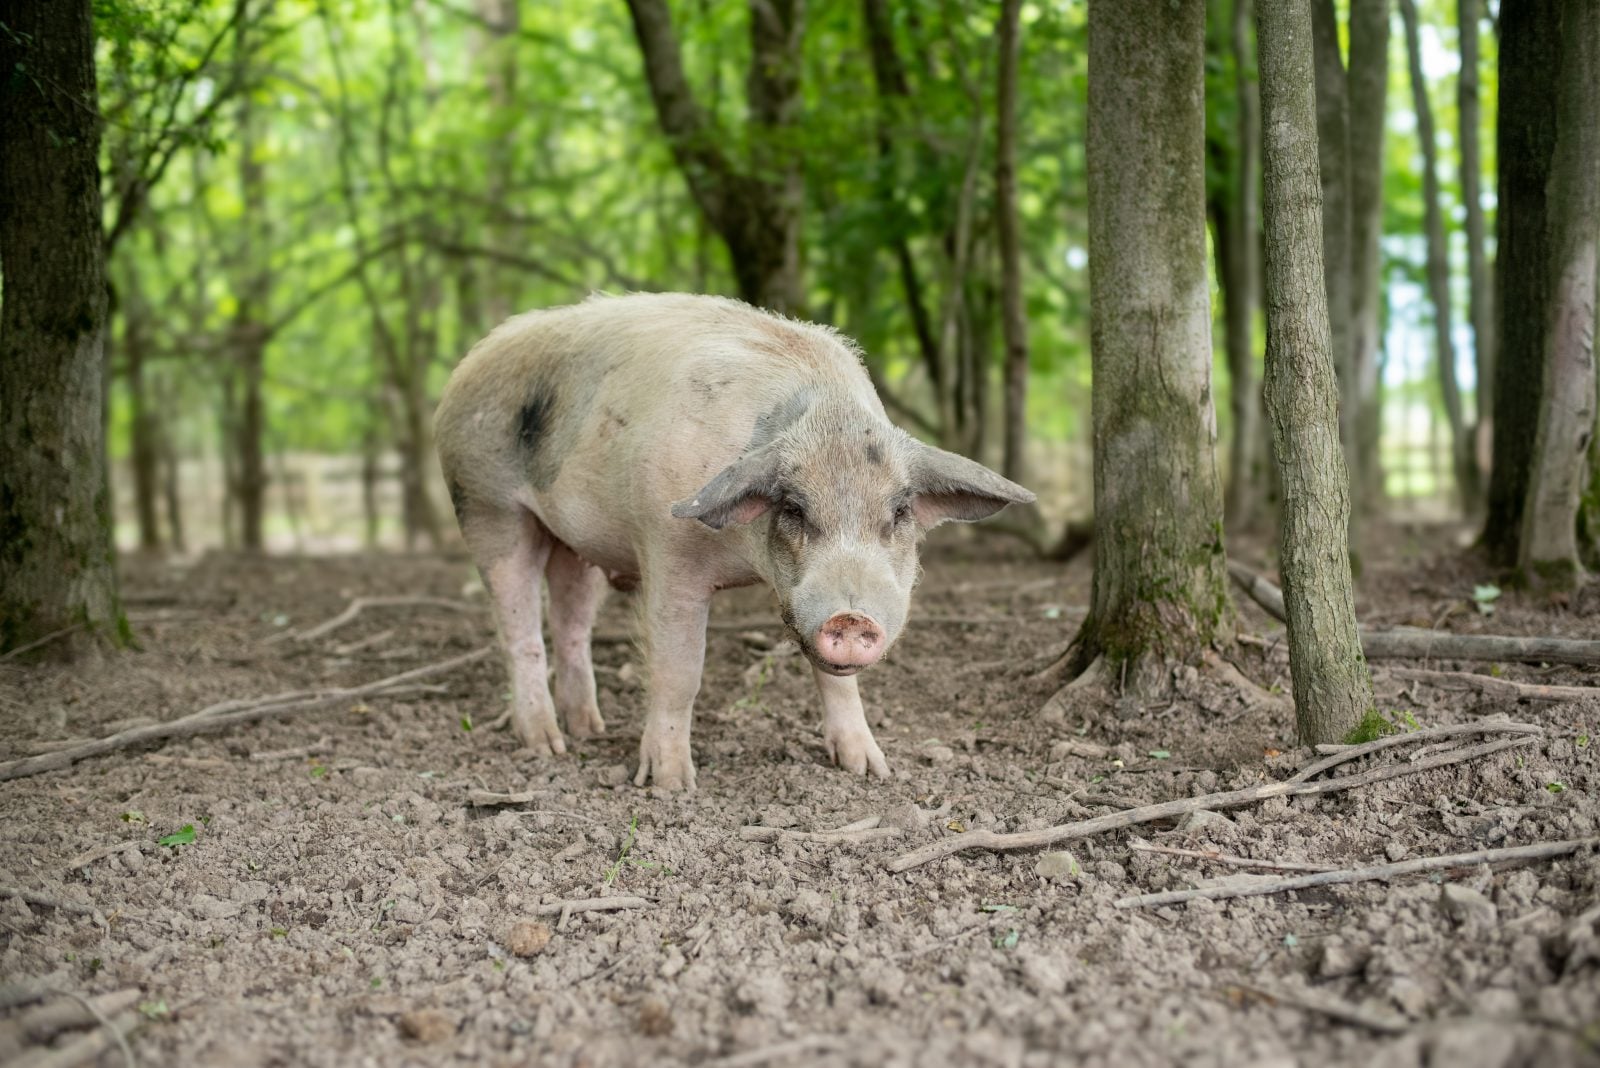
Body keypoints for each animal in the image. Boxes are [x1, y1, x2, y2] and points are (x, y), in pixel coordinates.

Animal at [434, 293, 1034, 789]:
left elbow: (836, 682)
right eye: (794, 509)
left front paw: (870, 770)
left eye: (900, 511)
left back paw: (590, 730)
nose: (851, 618)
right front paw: (670, 786)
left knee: (571, 623)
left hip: (573, 541)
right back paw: (547, 746)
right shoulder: (667, 552)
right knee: (518, 628)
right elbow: (680, 671)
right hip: (485, 502)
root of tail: (465, 368)